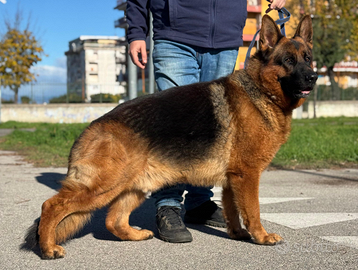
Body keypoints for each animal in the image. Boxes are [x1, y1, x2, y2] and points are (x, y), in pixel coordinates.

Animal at [25, 15, 316, 260]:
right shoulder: (247, 176)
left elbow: (234, 212)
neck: (261, 91)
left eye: (308, 58)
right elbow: (253, 211)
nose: (314, 77)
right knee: (51, 206)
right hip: (102, 187)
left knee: (113, 221)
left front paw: (238, 234)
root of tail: (90, 130)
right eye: (288, 61)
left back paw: (134, 235)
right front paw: (261, 236)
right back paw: (48, 248)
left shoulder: (232, 180)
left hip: (133, 187)